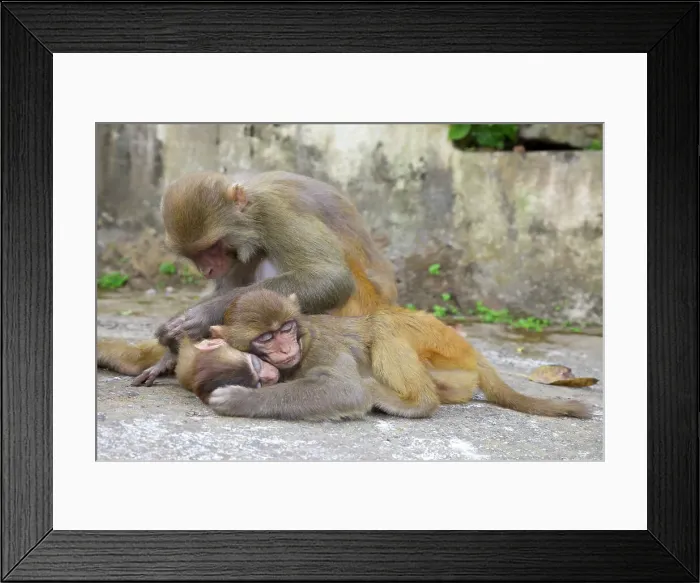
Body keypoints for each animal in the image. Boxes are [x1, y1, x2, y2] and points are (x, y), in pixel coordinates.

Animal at [132, 170, 397, 387]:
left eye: (213, 246)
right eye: (194, 254)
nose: (206, 270)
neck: (250, 209)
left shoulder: (274, 211)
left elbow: (329, 276)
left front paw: (202, 316)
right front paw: (171, 353)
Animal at [206, 289, 592, 421]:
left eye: (287, 328)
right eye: (267, 337)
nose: (286, 348)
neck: (305, 338)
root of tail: (470, 349)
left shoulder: (322, 347)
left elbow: (346, 390)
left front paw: (239, 400)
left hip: (441, 344)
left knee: (383, 323)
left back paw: (414, 402)